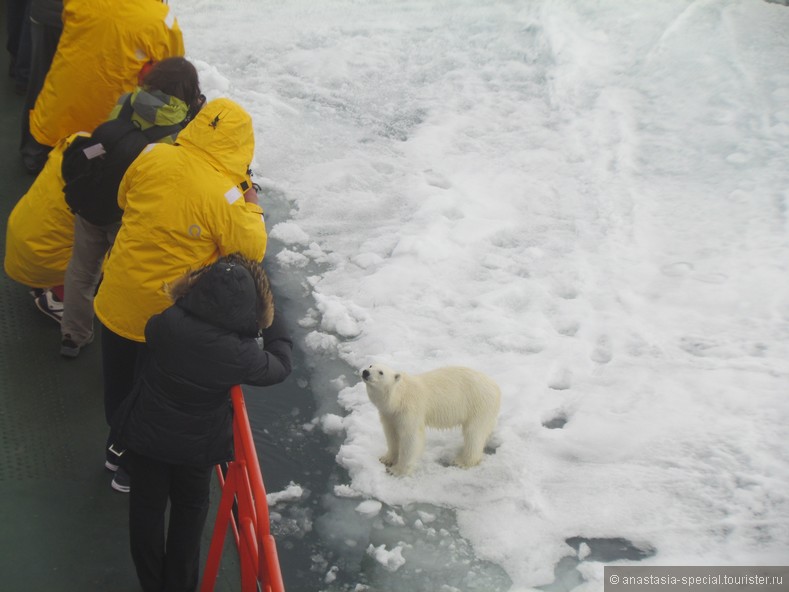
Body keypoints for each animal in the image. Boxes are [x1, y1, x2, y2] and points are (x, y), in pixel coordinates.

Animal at [362, 360, 498, 476]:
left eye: (381, 372)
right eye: (370, 365)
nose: (365, 372)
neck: (398, 398)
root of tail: (496, 387)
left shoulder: (410, 410)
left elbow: (410, 438)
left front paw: (397, 470)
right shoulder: (389, 415)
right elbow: (391, 435)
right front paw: (386, 458)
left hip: (478, 404)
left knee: (474, 433)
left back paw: (462, 462)